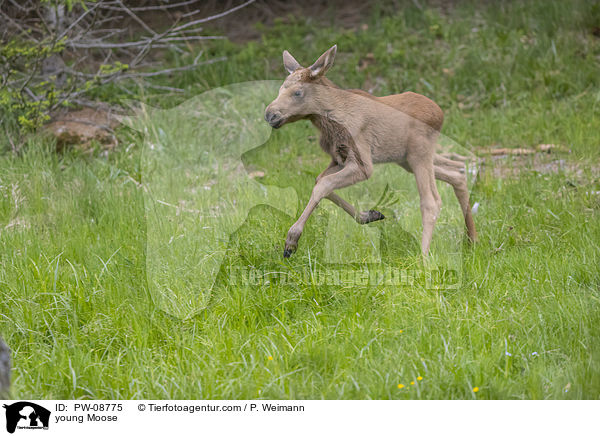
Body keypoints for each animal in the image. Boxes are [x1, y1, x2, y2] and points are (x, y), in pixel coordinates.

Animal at [264, 45, 478, 255]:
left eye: (297, 93)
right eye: (280, 88)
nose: (269, 114)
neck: (328, 122)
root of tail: (440, 114)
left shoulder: (363, 163)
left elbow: (323, 185)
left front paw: (291, 241)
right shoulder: (338, 159)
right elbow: (319, 181)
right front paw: (369, 215)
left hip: (419, 153)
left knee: (431, 201)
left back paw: (423, 258)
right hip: (407, 159)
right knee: (458, 171)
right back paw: (471, 240)